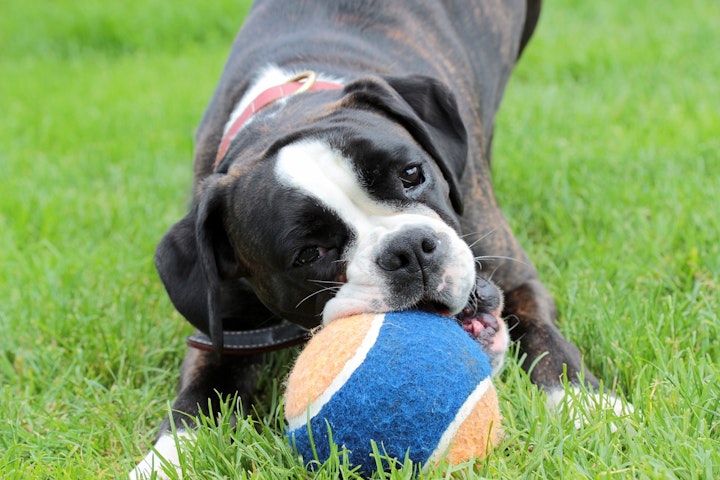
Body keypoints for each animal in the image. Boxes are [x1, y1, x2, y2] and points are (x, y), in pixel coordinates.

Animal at [129, 0, 632, 476]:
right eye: (309, 253)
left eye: (412, 174)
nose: (408, 250)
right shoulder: (223, 334)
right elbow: (197, 403)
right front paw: (163, 462)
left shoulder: (516, 279)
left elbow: (547, 342)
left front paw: (592, 408)